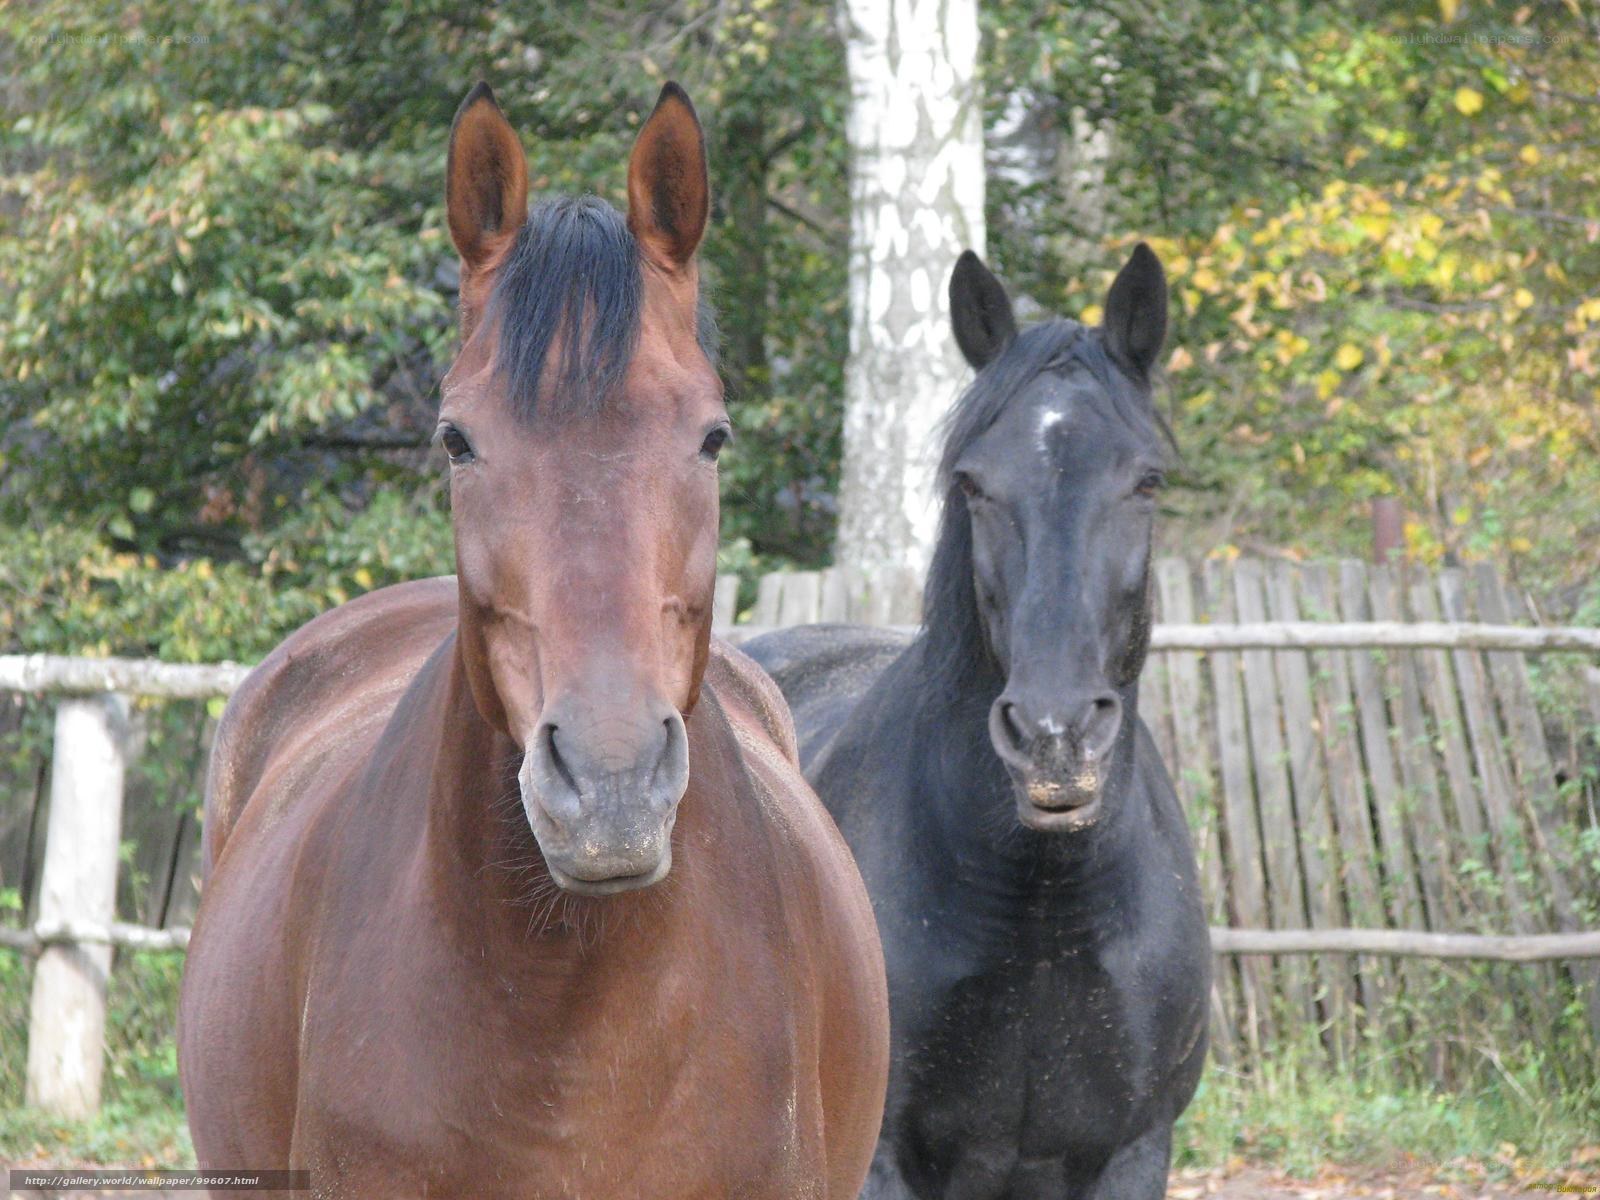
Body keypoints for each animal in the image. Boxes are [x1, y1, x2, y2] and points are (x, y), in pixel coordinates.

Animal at [742, 245, 1211, 1200]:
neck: (1039, 911)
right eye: (973, 484)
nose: (1054, 739)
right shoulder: (880, 1155)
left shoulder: (1135, 1151)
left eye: (1146, 481)